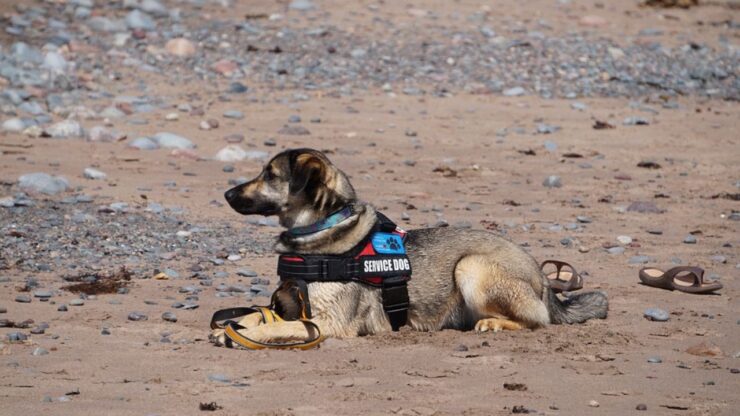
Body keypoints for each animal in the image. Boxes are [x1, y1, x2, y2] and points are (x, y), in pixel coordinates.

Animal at [221, 149, 608, 342]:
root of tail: (543, 280)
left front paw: (238, 335)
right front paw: (236, 326)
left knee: (538, 320)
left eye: (270, 175)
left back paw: (495, 324)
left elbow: (278, 327)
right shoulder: (289, 305)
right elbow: (257, 315)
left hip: (471, 266)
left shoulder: (329, 322)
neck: (324, 228)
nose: (225, 194)